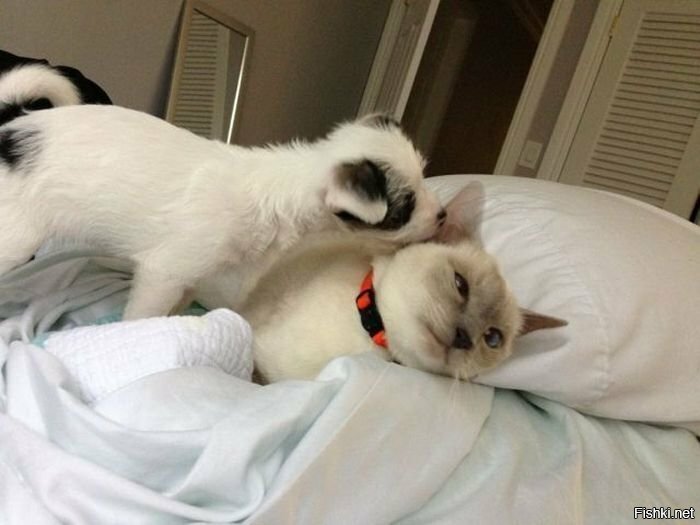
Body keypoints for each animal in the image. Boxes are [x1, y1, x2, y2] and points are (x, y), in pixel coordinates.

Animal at [0, 105, 444, 319]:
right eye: (404, 208)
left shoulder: (192, 279)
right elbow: (142, 316)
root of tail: (8, 135)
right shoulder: (165, 273)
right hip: (15, 239)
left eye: (425, 177)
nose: (441, 216)